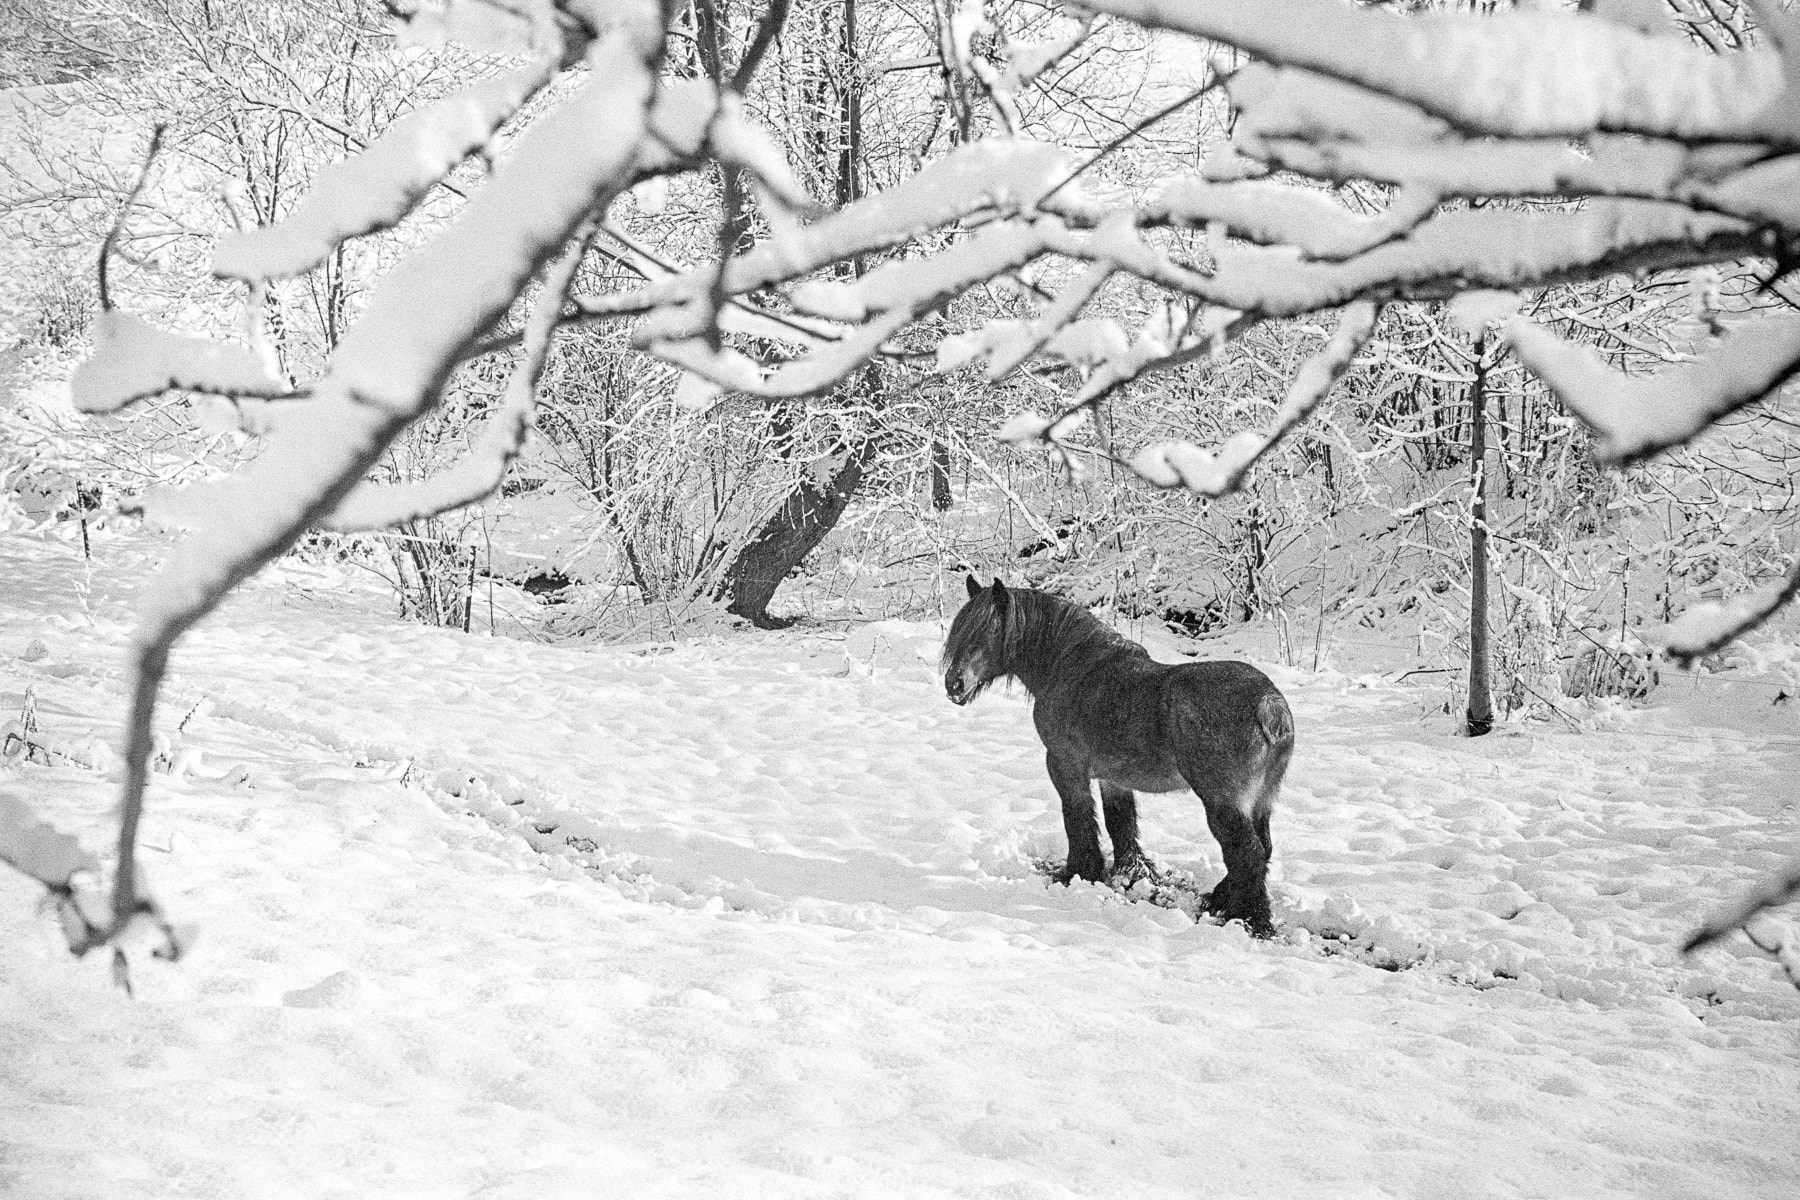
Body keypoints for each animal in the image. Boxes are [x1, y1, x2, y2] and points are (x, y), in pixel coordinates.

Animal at [943, 579, 1296, 935]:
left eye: (984, 632)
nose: (953, 684)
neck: (1068, 667)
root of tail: (1270, 706)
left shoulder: (1065, 764)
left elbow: (1078, 818)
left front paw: (1079, 872)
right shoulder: (1113, 777)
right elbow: (1120, 823)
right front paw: (1131, 874)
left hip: (1223, 802)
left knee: (1247, 854)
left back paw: (1248, 919)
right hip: (1261, 800)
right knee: (1262, 849)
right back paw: (1222, 901)